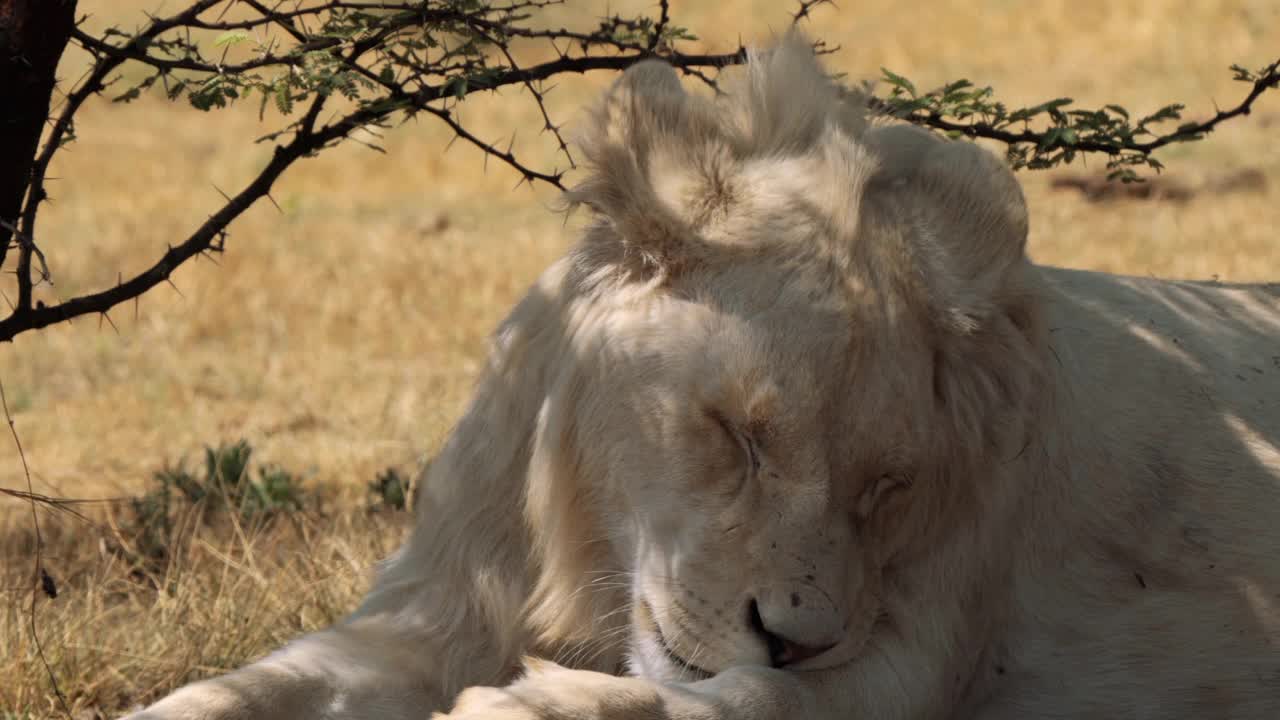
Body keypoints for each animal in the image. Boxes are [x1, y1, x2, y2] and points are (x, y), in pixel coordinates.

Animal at [127, 32, 1280, 717]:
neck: (585, 540)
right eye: (737, 436)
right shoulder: (434, 612)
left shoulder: (908, 661)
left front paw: (528, 703)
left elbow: (726, 702)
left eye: (883, 488)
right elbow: (238, 688)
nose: (792, 638)